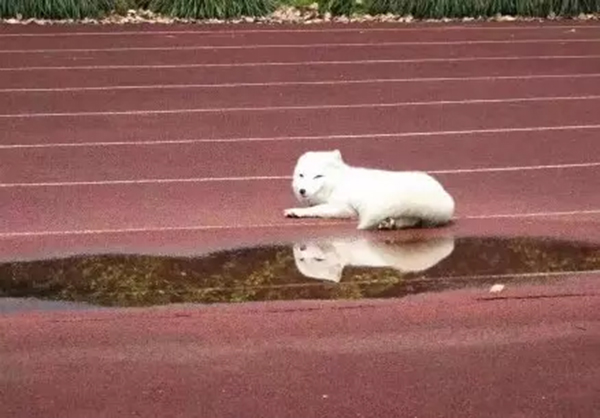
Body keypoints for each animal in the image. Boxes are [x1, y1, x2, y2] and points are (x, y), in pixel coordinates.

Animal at [284, 149, 454, 230]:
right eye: (301, 175)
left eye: (318, 176)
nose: (302, 191)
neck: (338, 182)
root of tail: (445, 197)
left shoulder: (345, 208)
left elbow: (317, 209)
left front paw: (296, 211)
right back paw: (389, 224)